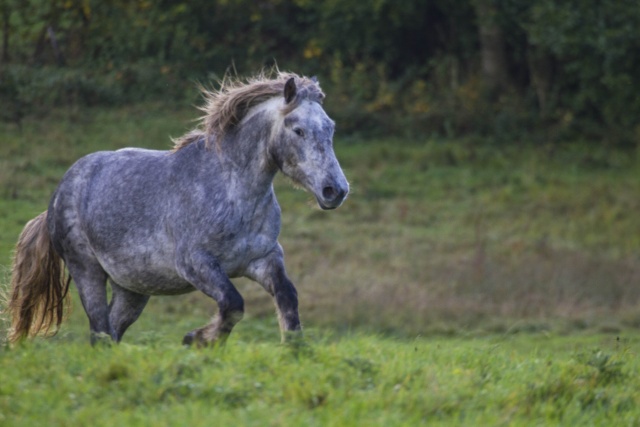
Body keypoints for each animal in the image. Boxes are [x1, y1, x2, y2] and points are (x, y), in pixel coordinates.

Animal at [3, 72, 350, 348]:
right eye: (297, 129)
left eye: (331, 127)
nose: (335, 190)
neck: (233, 192)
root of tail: (58, 195)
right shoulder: (195, 262)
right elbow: (233, 303)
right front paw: (196, 340)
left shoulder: (263, 258)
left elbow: (287, 298)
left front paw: (295, 350)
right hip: (86, 270)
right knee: (100, 332)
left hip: (132, 288)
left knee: (110, 332)